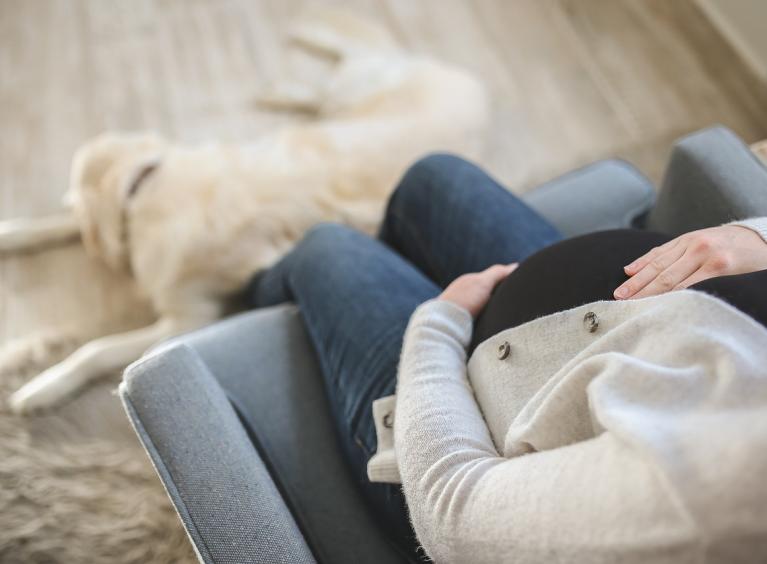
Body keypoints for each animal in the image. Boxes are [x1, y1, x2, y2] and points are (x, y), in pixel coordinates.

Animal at [3, 8, 488, 414]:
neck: (145, 190)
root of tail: (470, 84)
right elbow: (49, 225)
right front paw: (14, 231)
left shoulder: (185, 317)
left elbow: (97, 347)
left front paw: (40, 388)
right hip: (347, 96)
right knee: (351, 65)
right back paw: (288, 81)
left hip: (357, 88)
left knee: (365, 55)